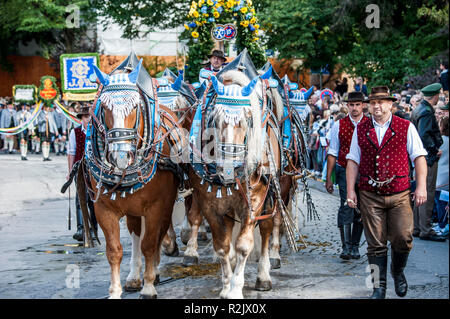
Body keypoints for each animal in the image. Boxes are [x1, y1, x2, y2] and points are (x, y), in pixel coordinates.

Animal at [82, 56, 185, 298]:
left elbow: (150, 244)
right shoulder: (103, 208)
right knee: (136, 232)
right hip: (132, 208)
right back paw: (134, 276)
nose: (120, 156)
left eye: (136, 106)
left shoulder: (158, 205)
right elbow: (114, 250)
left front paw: (148, 286)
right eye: (103, 107)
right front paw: (115, 290)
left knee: (155, 236)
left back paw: (153, 270)